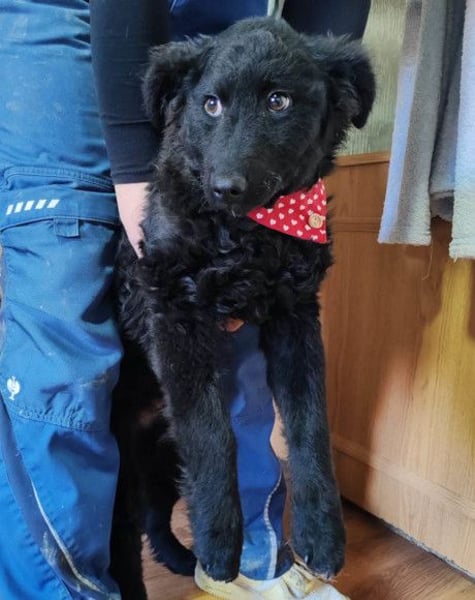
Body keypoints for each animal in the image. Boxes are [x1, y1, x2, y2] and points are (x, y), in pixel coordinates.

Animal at [110, 16, 375, 599]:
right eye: (210, 105)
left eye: (279, 101)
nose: (224, 187)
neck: (247, 235)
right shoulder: (174, 315)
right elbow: (212, 436)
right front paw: (219, 544)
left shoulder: (295, 316)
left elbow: (310, 425)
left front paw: (322, 534)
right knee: (122, 543)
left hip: (159, 456)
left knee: (156, 518)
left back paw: (182, 559)